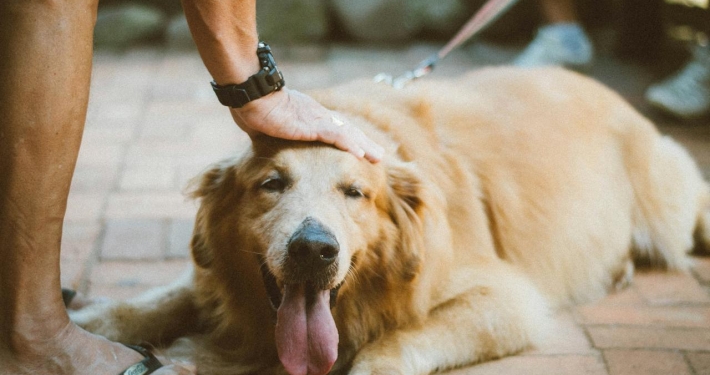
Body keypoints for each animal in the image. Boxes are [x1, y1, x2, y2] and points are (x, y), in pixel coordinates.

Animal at [73, 68, 710, 375]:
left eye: (356, 192)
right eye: (271, 184)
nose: (314, 249)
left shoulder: (507, 299)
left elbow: (395, 343)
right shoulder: (219, 280)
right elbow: (150, 303)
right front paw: (86, 321)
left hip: (670, 203)